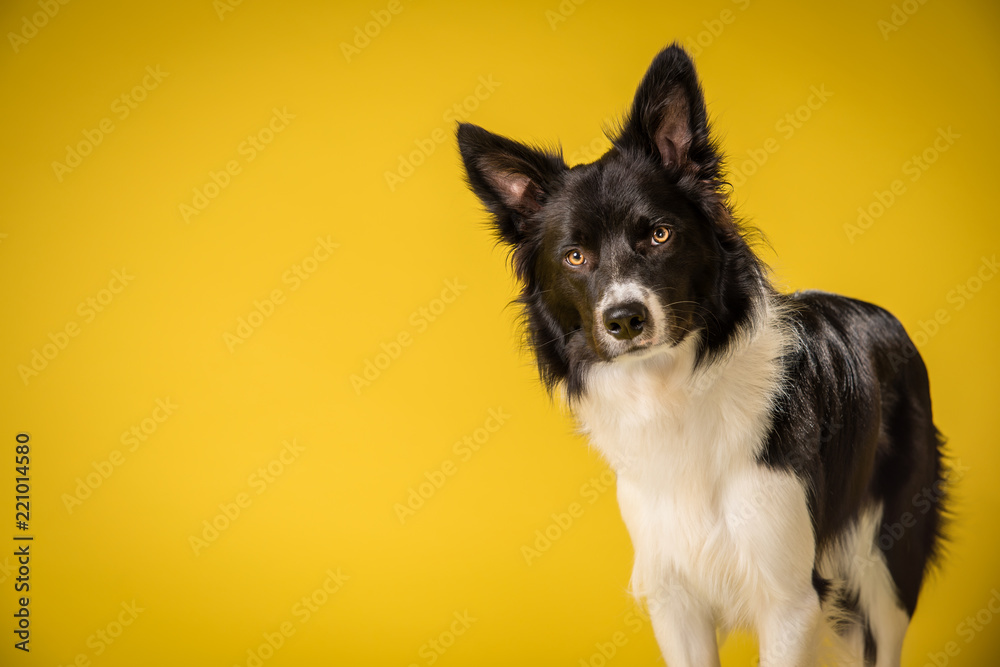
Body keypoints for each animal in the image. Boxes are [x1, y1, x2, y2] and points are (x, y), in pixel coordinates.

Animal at [458, 44, 948, 664]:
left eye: (659, 235)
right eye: (575, 256)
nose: (625, 320)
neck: (669, 392)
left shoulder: (790, 598)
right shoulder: (675, 596)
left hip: (886, 566)